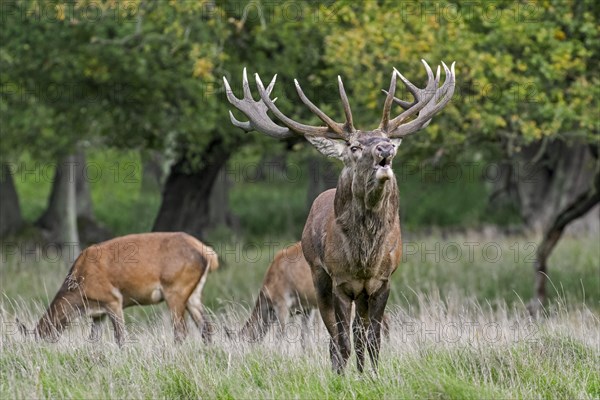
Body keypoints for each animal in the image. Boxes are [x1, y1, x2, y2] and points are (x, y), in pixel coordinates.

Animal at [18, 233, 220, 346]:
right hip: (193, 294)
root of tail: (210, 255)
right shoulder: (97, 313)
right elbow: (93, 341)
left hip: (175, 288)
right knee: (206, 327)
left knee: (181, 331)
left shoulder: (113, 299)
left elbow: (120, 337)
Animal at [225, 61, 454, 374]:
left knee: (359, 333)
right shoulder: (340, 282)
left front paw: (371, 375)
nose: (385, 150)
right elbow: (341, 338)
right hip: (318, 276)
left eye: (387, 141)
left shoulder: (382, 281)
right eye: (355, 147)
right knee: (334, 336)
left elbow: (372, 340)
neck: (364, 259)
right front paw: (343, 376)